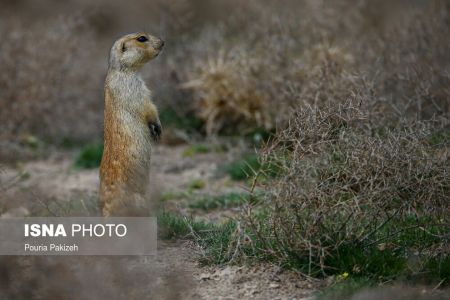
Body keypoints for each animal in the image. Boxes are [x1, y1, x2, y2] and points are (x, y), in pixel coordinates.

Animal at [99, 32, 164, 216]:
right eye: (141, 38)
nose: (163, 42)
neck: (122, 69)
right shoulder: (133, 88)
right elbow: (148, 107)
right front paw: (157, 128)